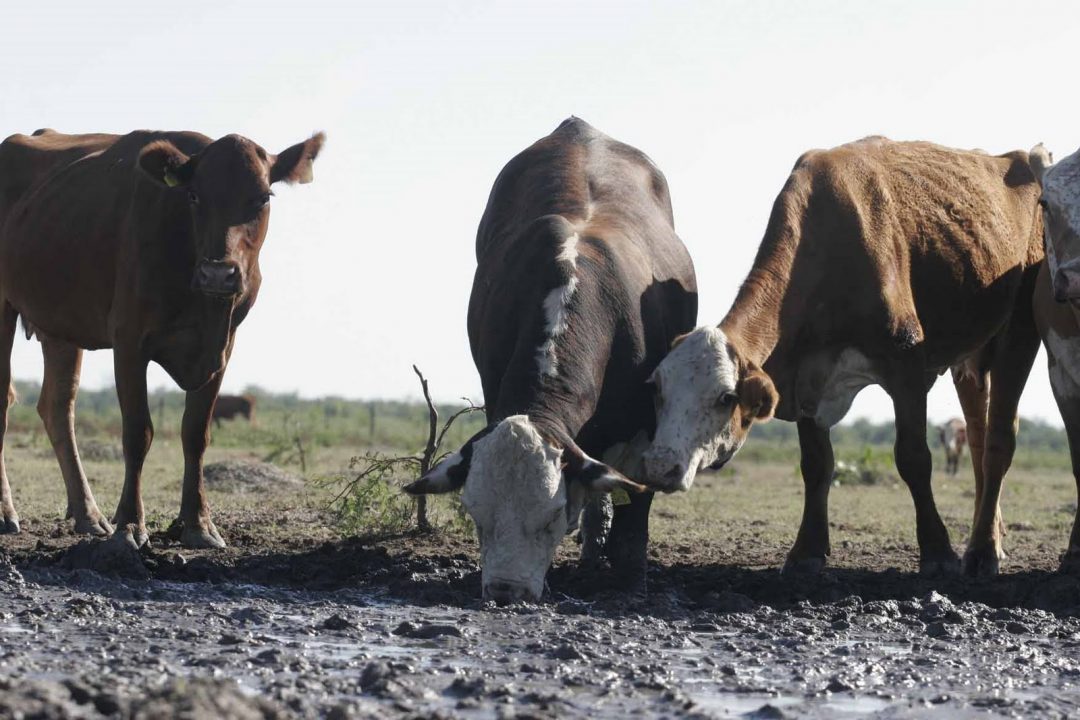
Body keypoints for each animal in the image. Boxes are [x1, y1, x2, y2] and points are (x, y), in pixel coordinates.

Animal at [0, 127, 321, 546]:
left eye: (262, 197)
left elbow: (195, 434)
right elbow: (139, 433)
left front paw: (199, 524)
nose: (218, 273)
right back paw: (7, 512)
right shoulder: (129, 341)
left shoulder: (222, 349)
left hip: (60, 322)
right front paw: (130, 524)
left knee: (58, 408)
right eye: (194, 195)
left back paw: (88, 514)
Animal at [401, 118, 695, 604]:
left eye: (552, 517)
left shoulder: (646, 427)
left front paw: (631, 581)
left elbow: (634, 512)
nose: (506, 590)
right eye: (477, 515)